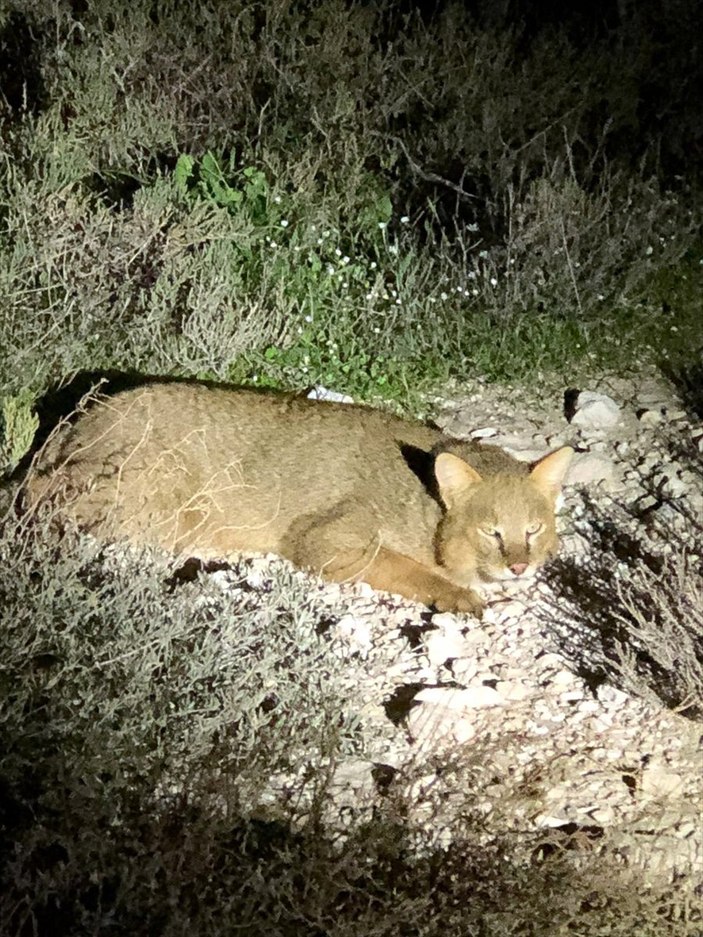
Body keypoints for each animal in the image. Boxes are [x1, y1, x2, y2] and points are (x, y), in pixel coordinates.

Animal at [24, 380, 576, 616]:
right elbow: (407, 569)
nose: (520, 566)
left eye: (533, 529)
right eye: (491, 531)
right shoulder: (326, 540)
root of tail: (75, 422)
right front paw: (456, 593)